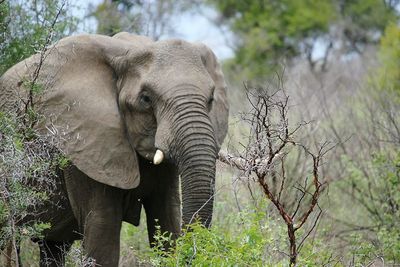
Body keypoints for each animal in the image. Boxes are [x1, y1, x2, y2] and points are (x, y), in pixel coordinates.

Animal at [0, 33, 230, 267]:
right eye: (145, 99)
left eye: (211, 99)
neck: (127, 52)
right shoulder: (84, 144)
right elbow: (103, 234)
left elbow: (167, 218)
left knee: (54, 246)